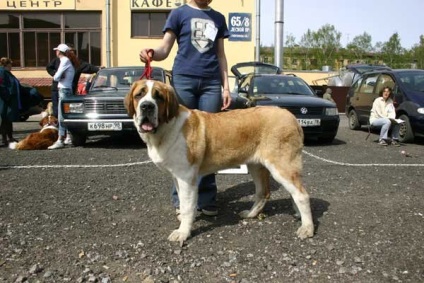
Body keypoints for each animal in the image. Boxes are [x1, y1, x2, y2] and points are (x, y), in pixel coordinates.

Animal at [124, 79, 314, 243]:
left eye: (159, 97)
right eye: (139, 95)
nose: (147, 106)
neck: (167, 127)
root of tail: (291, 117)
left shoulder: (186, 177)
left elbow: (187, 207)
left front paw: (183, 232)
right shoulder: (177, 177)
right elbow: (183, 203)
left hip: (281, 166)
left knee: (301, 194)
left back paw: (307, 228)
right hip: (256, 166)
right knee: (265, 192)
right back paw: (252, 214)